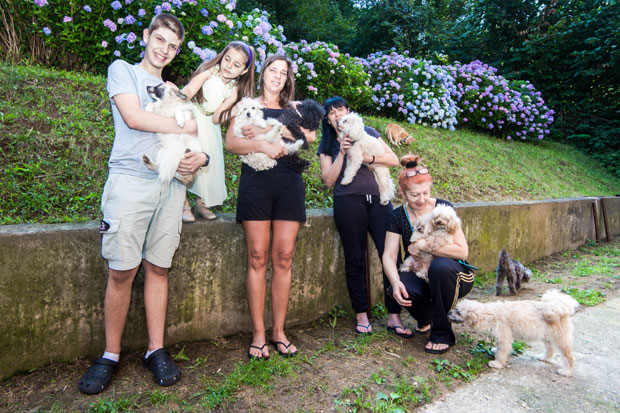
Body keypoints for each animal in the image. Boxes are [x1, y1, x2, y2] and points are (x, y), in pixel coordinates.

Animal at [448, 290, 579, 376]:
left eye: (458, 312)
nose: (448, 312)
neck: (488, 314)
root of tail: (559, 307)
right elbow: (499, 348)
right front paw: (495, 351)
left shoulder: (504, 337)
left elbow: (502, 352)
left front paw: (497, 363)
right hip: (547, 337)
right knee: (550, 349)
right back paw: (545, 358)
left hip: (561, 339)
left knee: (569, 357)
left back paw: (566, 371)